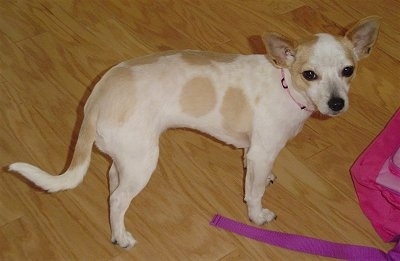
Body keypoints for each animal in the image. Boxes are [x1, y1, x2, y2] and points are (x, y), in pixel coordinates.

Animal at [7, 16, 380, 248]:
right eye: (309, 74)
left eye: (348, 71)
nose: (336, 103)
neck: (284, 81)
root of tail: (97, 96)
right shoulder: (262, 152)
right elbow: (254, 192)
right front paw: (257, 216)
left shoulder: (255, 152)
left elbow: (256, 172)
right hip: (143, 161)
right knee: (117, 200)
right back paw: (120, 236)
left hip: (129, 155)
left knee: (112, 181)